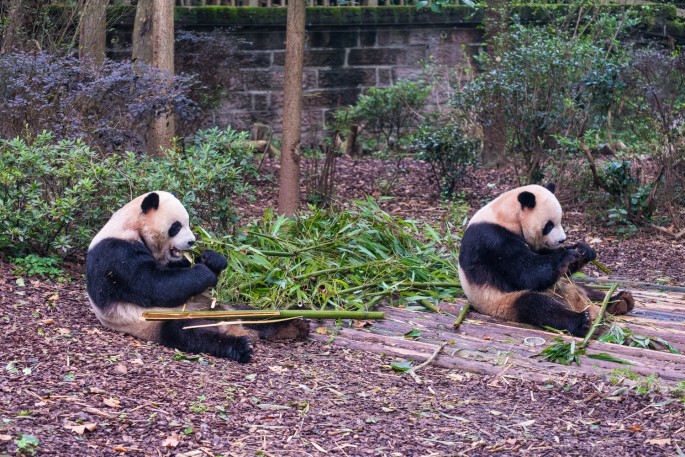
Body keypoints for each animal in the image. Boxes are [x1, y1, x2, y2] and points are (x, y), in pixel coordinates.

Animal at [85, 191, 308, 362]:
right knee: (190, 335)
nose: (192, 242)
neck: (132, 226)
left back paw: (296, 321)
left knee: (258, 315)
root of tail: (232, 326)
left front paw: (213, 259)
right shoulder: (116, 255)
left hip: (226, 307)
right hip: (158, 321)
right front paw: (205, 272)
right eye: (176, 226)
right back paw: (239, 346)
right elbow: (154, 285)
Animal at [456, 183, 632, 336]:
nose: (562, 240)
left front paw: (583, 251)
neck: (506, 215)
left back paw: (620, 301)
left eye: (560, 221)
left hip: (565, 285)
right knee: (537, 306)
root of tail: (573, 302)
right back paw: (581, 321)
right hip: (501, 302)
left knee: (589, 290)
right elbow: (525, 273)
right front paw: (567, 257)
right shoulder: (491, 239)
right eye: (549, 225)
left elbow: (543, 258)